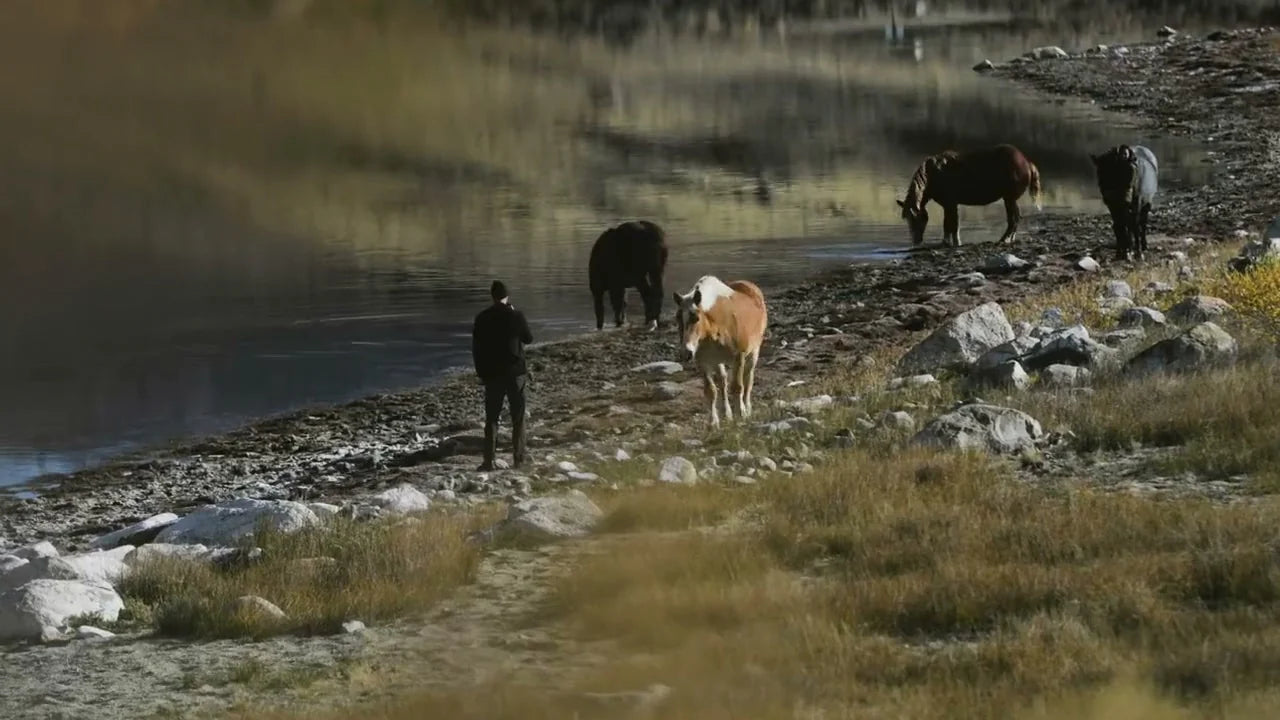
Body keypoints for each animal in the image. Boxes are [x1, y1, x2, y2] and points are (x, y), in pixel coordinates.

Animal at [672, 276, 768, 428]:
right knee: (722, 381)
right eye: (677, 317)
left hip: (753, 354)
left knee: (748, 379)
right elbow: (710, 391)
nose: (686, 353)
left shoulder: (739, 357)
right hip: (718, 361)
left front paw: (741, 414)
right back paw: (727, 414)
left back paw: (747, 407)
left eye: (696, 318)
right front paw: (713, 423)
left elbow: (738, 386)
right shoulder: (703, 362)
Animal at [896, 144, 1043, 248]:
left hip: (1009, 198)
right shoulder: (950, 205)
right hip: (1009, 199)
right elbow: (951, 224)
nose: (916, 241)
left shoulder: (950, 204)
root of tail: (1027, 163)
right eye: (907, 218)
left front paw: (949, 243)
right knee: (1015, 218)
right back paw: (1009, 239)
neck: (932, 175)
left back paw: (1003, 239)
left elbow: (950, 224)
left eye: (914, 218)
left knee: (1014, 219)